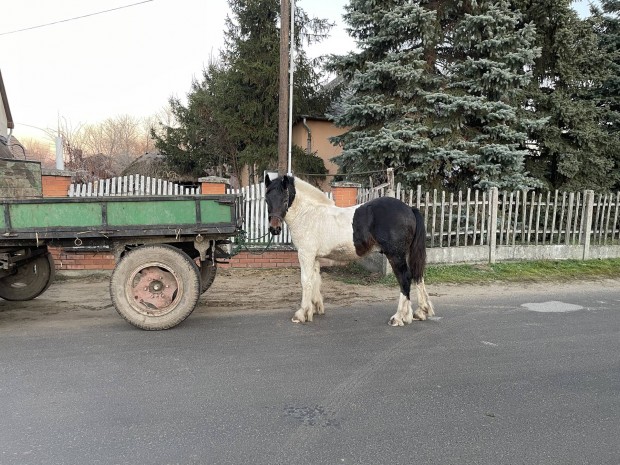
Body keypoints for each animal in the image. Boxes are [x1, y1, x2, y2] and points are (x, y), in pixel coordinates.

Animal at [264, 175, 434, 326]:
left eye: (285, 200)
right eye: (266, 199)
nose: (274, 229)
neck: (309, 214)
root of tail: (409, 209)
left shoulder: (306, 254)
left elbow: (306, 281)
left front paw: (302, 313)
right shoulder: (315, 257)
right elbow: (315, 279)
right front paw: (315, 308)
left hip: (395, 255)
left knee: (405, 279)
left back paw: (399, 317)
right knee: (418, 276)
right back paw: (420, 312)